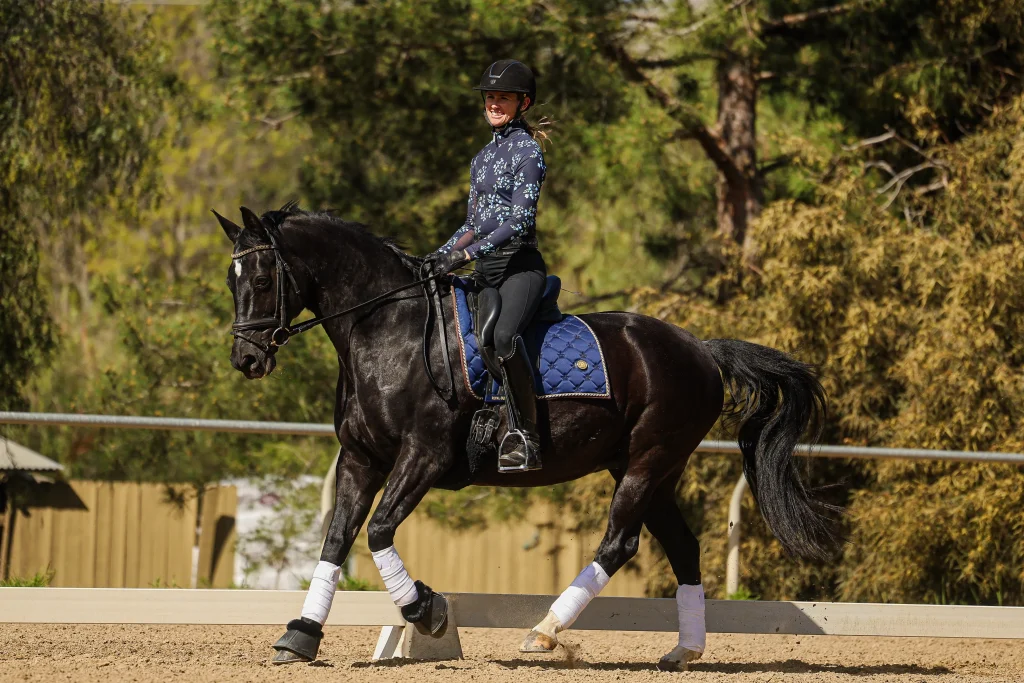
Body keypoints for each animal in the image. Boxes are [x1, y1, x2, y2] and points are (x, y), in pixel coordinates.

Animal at [215, 204, 837, 671]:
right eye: (232, 280)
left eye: (264, 279)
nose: (246, 359)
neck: (388, 330)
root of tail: (702, 350)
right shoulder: (360, 457)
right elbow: (337, 538)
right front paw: (300, 635)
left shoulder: (424, 455)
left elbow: (378, 531)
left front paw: (429, 612)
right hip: (647, 468)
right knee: (682, 546)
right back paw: (683, 651)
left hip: (649, 459)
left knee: (618, 543)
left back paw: (543, 632)